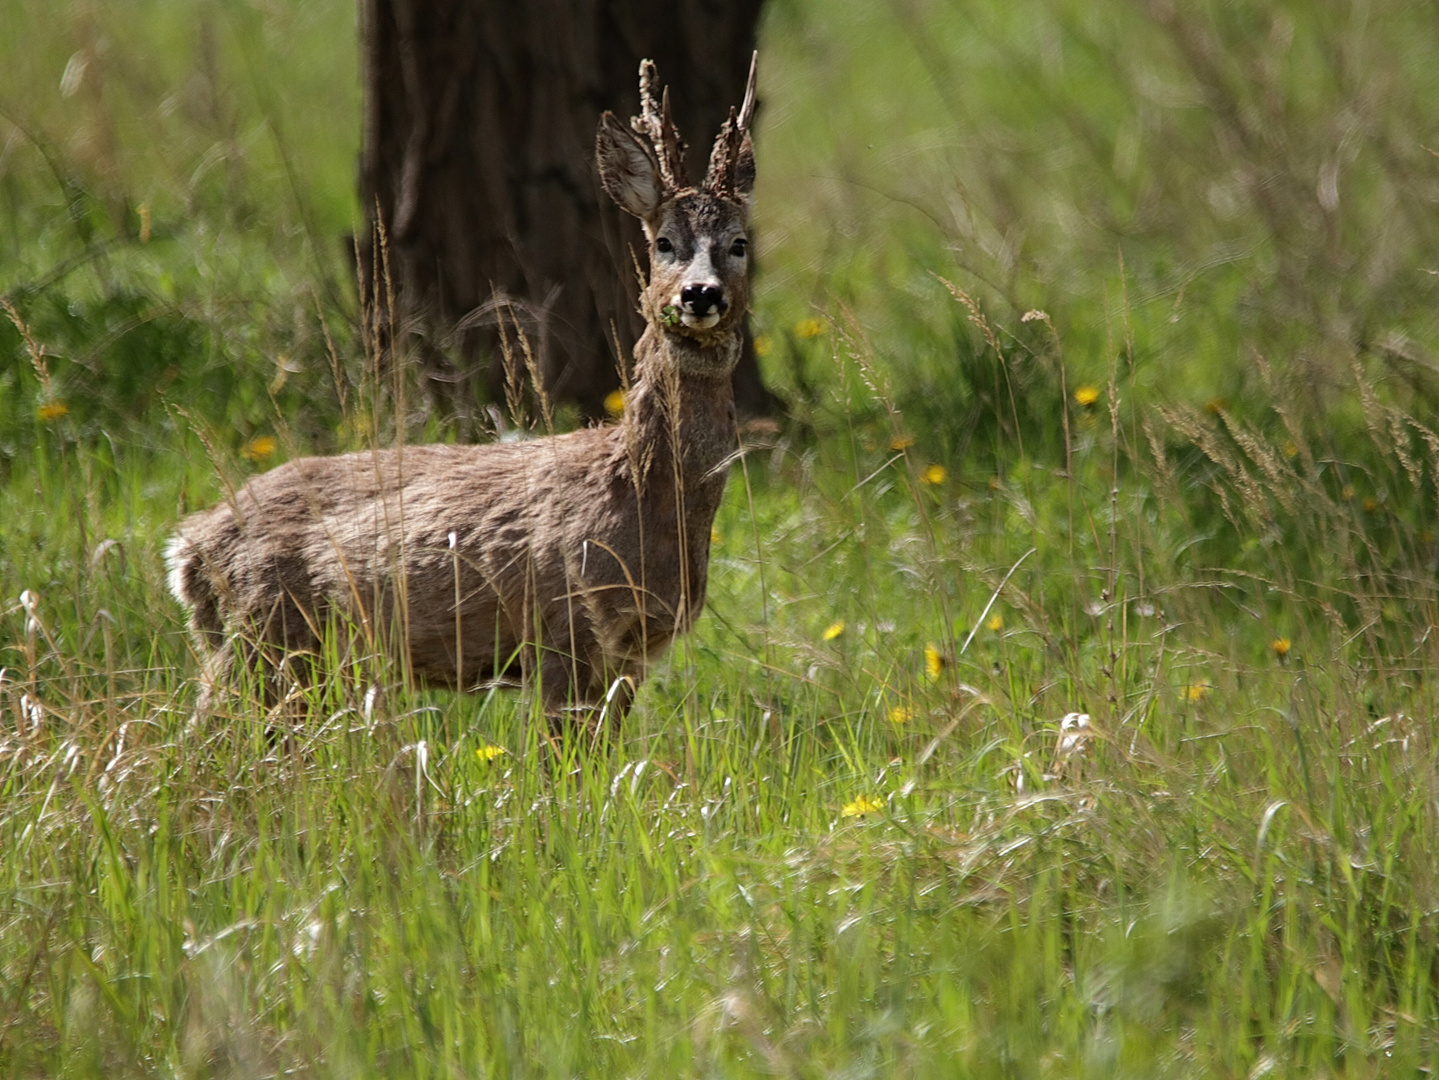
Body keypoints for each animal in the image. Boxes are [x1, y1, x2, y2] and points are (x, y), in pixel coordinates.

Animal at [163, 58, 759, 736]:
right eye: (663, 243)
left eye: (739, 243)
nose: (699, 294)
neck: (639, 489)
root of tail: (187, 550)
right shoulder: (566, 625)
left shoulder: (630, 652)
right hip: (262, 636)